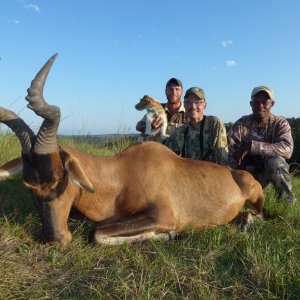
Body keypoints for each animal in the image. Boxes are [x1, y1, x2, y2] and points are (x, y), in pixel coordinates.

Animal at [0, 55, 264, 245]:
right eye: (29, 185)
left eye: (59, 178)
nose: (55, 239)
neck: (122, 173)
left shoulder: (163, 215)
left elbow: (96, 233)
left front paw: (171, 234)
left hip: (256, 196)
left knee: (259, 214)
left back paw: (245, 223)